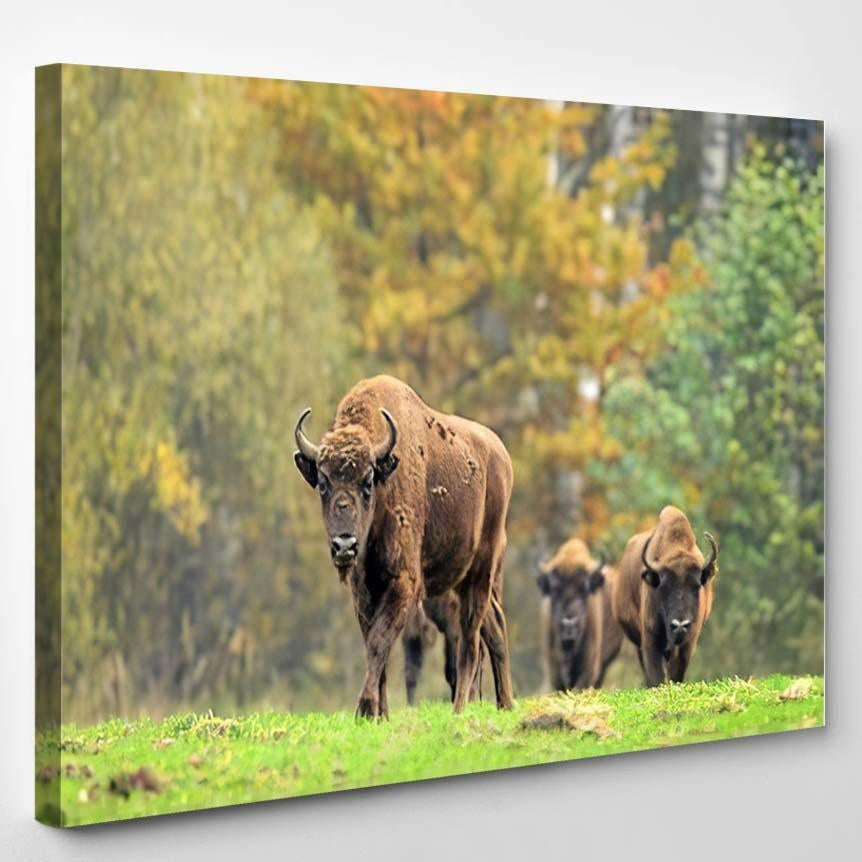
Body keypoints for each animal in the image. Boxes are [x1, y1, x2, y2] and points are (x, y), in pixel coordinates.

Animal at [293, 375, 514, 717]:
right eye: (323, 483)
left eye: (367, 481)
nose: (344, 545)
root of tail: (501, 456)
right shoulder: (364, 592)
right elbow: (377, 648)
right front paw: (380, 715)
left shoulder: (405, 583)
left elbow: (379, 642)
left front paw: (365, 709)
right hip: (467, 579)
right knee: (495, 627)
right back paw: (505, 704)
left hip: (481, 571)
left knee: (470, 640)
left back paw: (460, 709)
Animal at [612, 505, 718, 686]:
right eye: (663, 586)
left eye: (696, 585)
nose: (680, 625)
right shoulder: (650, 639)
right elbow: (655, 675)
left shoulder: (688, 643)